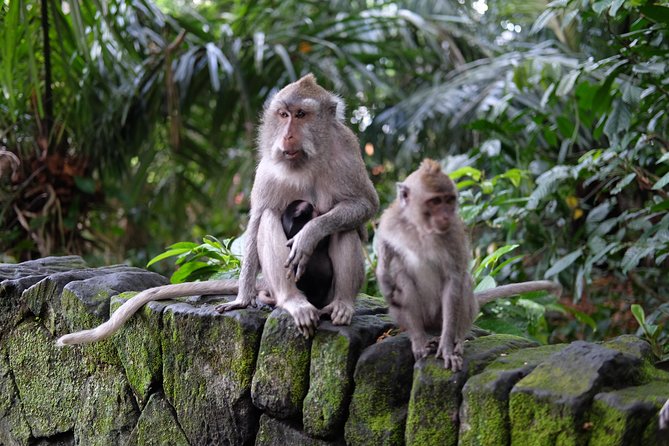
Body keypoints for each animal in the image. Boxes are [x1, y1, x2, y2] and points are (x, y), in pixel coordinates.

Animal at [56, 74, 379, 346]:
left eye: (301, 115)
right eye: (284, 115)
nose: (287, 136)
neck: (306, 160)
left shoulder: (347, 148)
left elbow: (364, 205)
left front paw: (310, 233)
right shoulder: (267, 166)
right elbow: (258, 219)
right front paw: (242, 299)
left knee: (346, 227)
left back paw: (341, 305)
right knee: (269, 220)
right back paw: (290, 301)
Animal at [374, 159, 561, 371]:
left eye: (449, 200)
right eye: (435, 201)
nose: (446, 216)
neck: (421, 227)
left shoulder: (453, 234)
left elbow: (453, 280)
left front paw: (447, 348)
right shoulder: (392, 218)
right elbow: (384, 241)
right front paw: (382, 275)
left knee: (461, 285)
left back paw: (456, 340)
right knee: (402, 279)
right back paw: (419, 338)